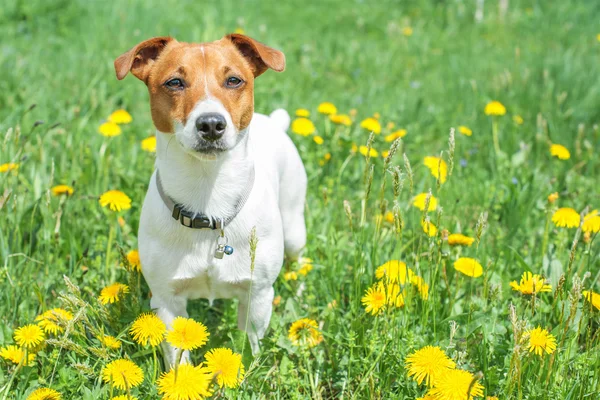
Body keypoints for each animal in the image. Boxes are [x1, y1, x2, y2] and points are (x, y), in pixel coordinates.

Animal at [114, 34, 308, 364]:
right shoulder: (166, 299)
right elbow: (178, 356)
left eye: (234, 80)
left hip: (294, 225)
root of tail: (273, 122)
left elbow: (248, 345)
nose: (211, 124)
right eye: (174, 82)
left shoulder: (257, 295)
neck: (208, 199)